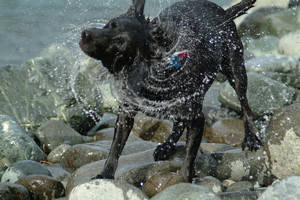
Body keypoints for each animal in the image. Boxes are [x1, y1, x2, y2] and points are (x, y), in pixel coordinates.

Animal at [80, 0, 262, 181]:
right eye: (111, 24)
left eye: (120, 44)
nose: (85, 33)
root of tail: (223, 12)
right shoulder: (126, 113)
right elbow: (115, 148)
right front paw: (105, 174)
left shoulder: (197, 119)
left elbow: (189, 156)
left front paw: (184, 180)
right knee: (179, 123)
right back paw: (166, 146)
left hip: (235, 69)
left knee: (245, 105)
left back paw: (251, 138)